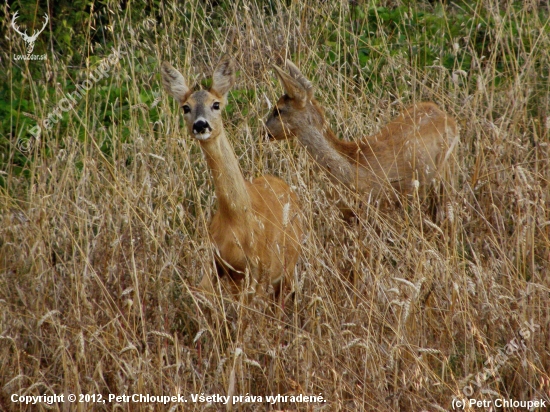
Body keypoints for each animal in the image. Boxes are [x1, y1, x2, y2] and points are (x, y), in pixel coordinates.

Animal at [162, 55, 304, 300]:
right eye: (186, 107)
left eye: (216, 104)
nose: (201, 125)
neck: (238, 220)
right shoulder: (214, 265)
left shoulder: (261, 270)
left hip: (286, 269)